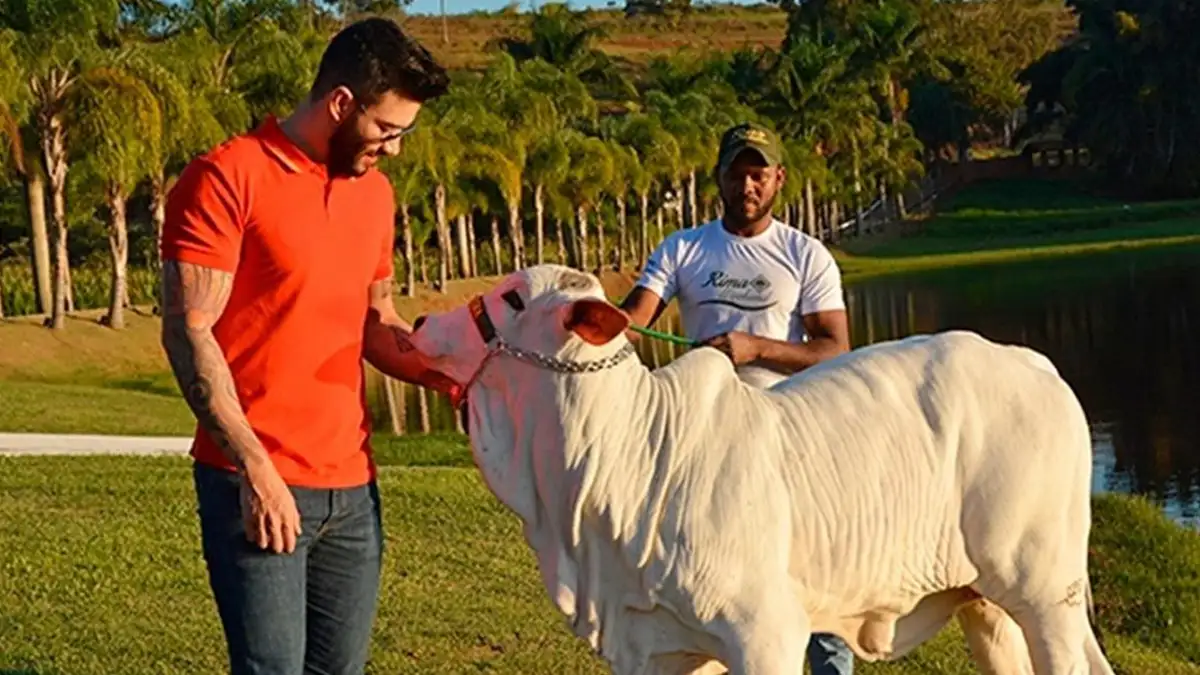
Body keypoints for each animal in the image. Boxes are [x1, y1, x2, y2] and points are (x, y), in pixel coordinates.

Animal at [410, 264, 1113, 672]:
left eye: (511, 297)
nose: (416, 320)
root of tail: (1032, 362)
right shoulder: (654, 648)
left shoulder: (764, 634)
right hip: (984, 602)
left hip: (1046, 590)